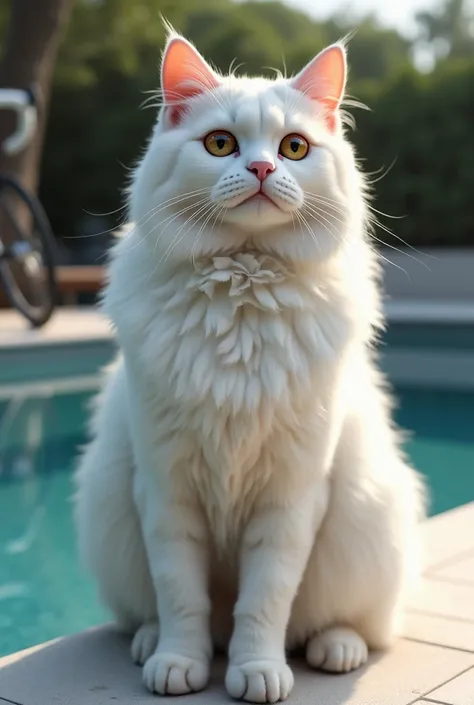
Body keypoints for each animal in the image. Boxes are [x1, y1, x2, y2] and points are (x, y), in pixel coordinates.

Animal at [75, 30, 426, 700]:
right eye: (221, 144)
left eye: (294, 148)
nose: (262, 169)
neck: (244, 282)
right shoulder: (167, 489)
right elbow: (181, 597)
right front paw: (179, 665)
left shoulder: (290, 496)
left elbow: (264, 603)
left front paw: (257, 672)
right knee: (151, 614)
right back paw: (150, 643)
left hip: (367, 521)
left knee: (360, 627)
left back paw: (334, 649)